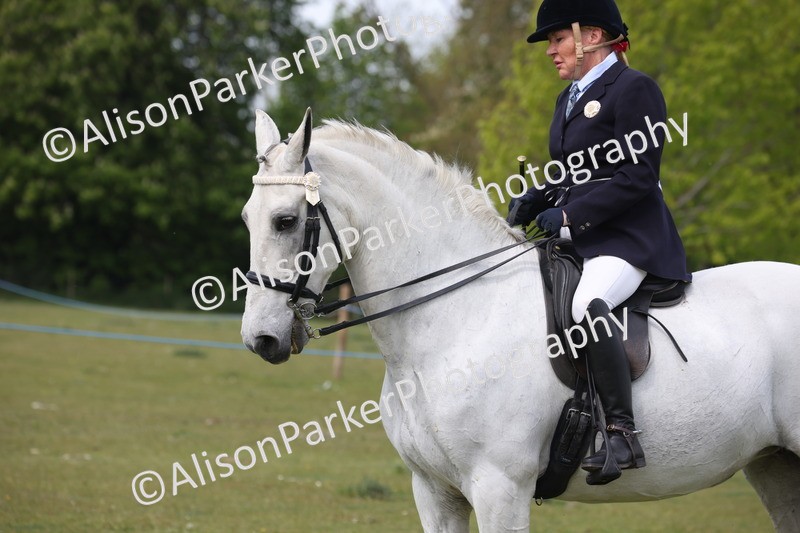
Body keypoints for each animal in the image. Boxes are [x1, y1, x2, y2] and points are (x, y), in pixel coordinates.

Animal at [240, 108, 800, 532]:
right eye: (248, 217)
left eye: (286, 221)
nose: (260, 339)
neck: (455, 321)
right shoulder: (434, 492)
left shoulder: (498, 489)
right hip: (774, 464)